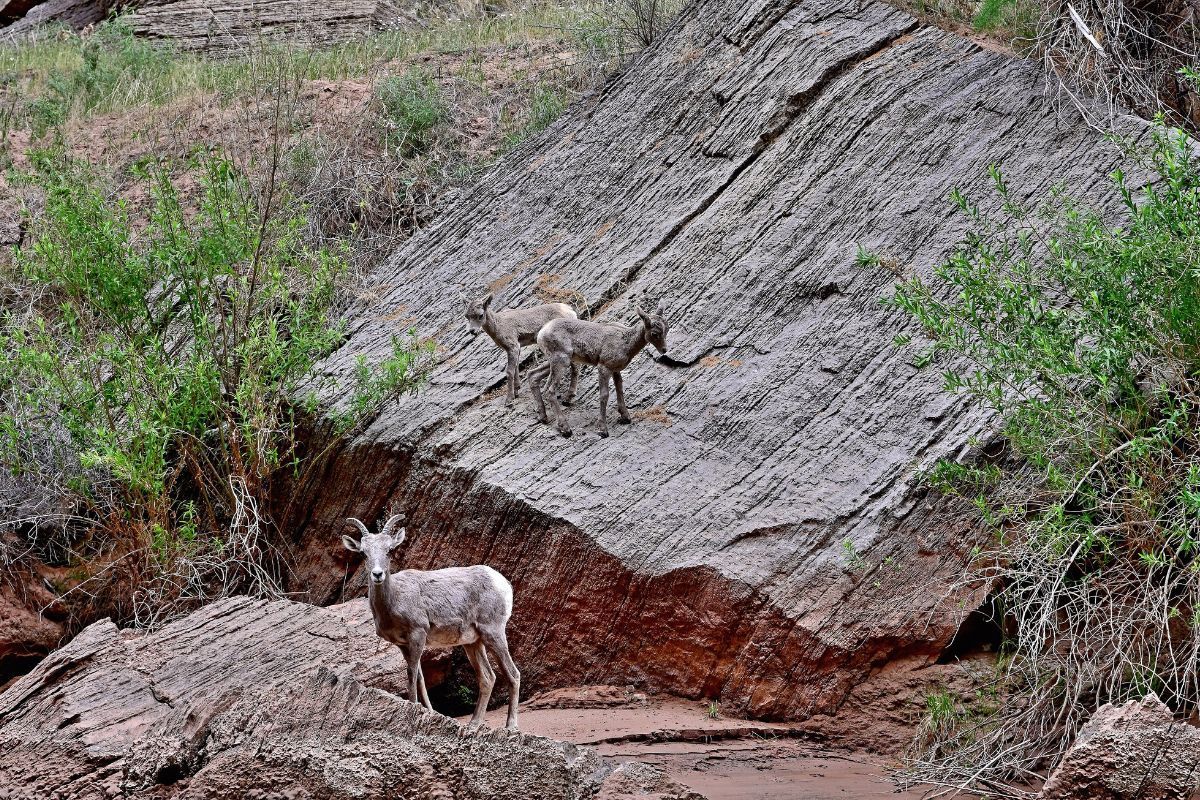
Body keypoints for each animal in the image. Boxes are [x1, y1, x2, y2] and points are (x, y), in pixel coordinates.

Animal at [341, 514, 521, 730]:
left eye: (390, 550)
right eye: (363, 553)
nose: (377, 574)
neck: (395, 598)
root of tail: (502, 582)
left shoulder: (418, 634)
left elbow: (411, 677)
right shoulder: (404, 645)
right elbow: (419, 678)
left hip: (493, 633)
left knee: (513, 674)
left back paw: (511, 726)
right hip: (473, 643)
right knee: (487, 678)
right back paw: (473, 724)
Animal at [526, 302, 669, 438]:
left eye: (666, 330)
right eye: (655, 333)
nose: (664, 350)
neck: (626, 342)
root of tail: (542, 333)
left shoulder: (615, 370)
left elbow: (620, 390)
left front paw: (625, 417)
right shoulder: (604, 368)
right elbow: (604, 395)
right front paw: (603, 430)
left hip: (555, 362)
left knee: (533, 375)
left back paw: (543, 417)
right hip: (561, 362)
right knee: (550, 391)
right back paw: (566, 429)